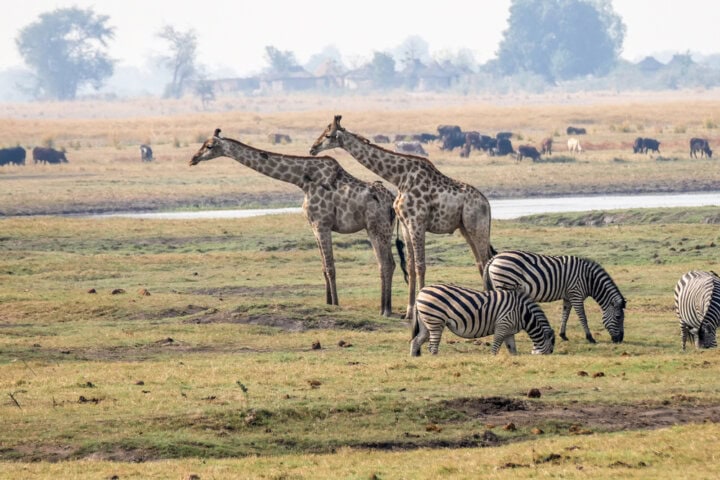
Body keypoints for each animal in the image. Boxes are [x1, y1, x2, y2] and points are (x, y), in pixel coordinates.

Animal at [190, 128, 406, 317]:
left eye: (209, 146)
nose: (193, 159)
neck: (302, 180)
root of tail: (391, 201)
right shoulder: (313, 226)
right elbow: (323, 267)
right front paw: (328, 303)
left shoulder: (322, 224)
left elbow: (330, 268)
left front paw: (336, 305)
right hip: (376, 229)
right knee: (387, 263)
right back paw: (383, 308)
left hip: (378, 227)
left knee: (387, 263)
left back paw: (386, 310)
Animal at [310, 116, 494, 319]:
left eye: (328, 135)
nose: (312, 148)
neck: (399, 178)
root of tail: (487, 204)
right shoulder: (406, 225)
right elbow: (412, 267)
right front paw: (409, 312)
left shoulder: (417, 222)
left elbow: (421, 265)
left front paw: (420, 311)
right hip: (465, 228)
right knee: (481, 262)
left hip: (476, 226)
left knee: (486, 260)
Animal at [410, 283, 555, 356]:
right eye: (551, 350)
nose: (548, 356)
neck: (522, 312)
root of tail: (421, 292)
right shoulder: (502, 324)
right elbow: (496, 345)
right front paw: (492, 358)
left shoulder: (510, 330)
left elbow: (512, 348)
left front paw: (514, 359)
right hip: (435, 321)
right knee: (432, 345)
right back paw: (435, 358)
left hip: (426, 322)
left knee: (416, 340)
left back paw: (415, 359)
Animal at [483, 250, 626, 344]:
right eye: (618, 317)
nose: (620, 340)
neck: (588, 279)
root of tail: (494, 258)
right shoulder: (576, 294)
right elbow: (583, 317)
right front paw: (590, 338)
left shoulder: (568, 297)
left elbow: (565, 315)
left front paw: (563, 335)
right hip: (505, 284)